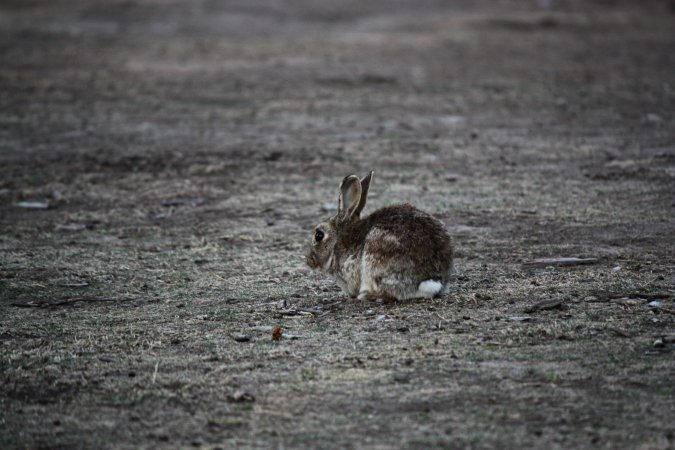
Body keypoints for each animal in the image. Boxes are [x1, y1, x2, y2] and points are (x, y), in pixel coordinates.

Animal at [306, 171, 453, 300]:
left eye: (319, 235)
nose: (309, 261)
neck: (337, 240)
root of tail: (429, 280)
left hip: (375, 260)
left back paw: (366, 296)